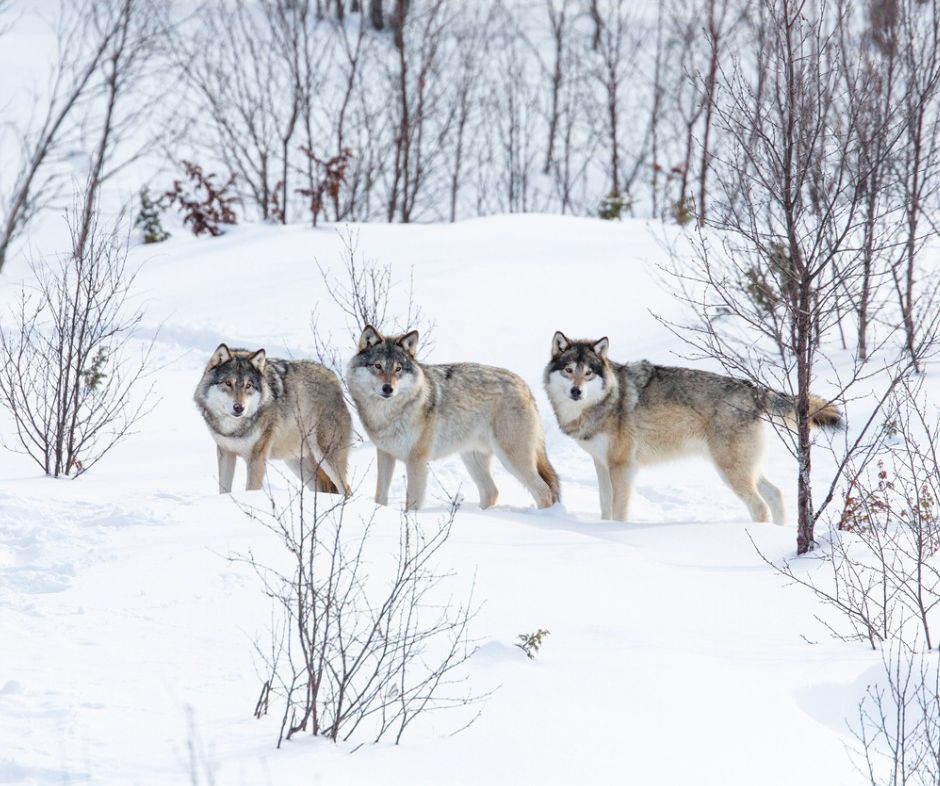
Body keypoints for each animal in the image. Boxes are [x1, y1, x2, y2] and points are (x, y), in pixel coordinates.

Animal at [195, 342, 352, 494]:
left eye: (248, 385)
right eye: (228, 383)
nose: (239, 408)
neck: (233, 429)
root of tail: (334, 378)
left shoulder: (256, 458)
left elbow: (251, 490)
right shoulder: (225, 453)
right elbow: (224, 491)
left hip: (325, 456)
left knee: (346, 489)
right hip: (298, 463)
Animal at [348, 324, 560, 508]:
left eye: (398, 368)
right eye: (377, 366)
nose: (388, 389)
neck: (387, 414)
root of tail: (524, 385)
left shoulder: (417, 461)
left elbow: (412, 504)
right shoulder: (385, 454)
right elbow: (380, 496)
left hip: (512, 459)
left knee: (544, 492)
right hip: (472, 458)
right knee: (492, 492)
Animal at [544, 328, 844, 524]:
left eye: (588, 373)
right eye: (569, 370)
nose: (576, 392)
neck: (604, 402)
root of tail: (753, 390)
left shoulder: (622, 467)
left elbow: (619, 510)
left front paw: (616, 532)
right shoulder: (601, 463)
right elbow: (604, 505)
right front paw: (604, 530)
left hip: (730, 471)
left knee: (760, 507)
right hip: (745, 468)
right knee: (777, 495)